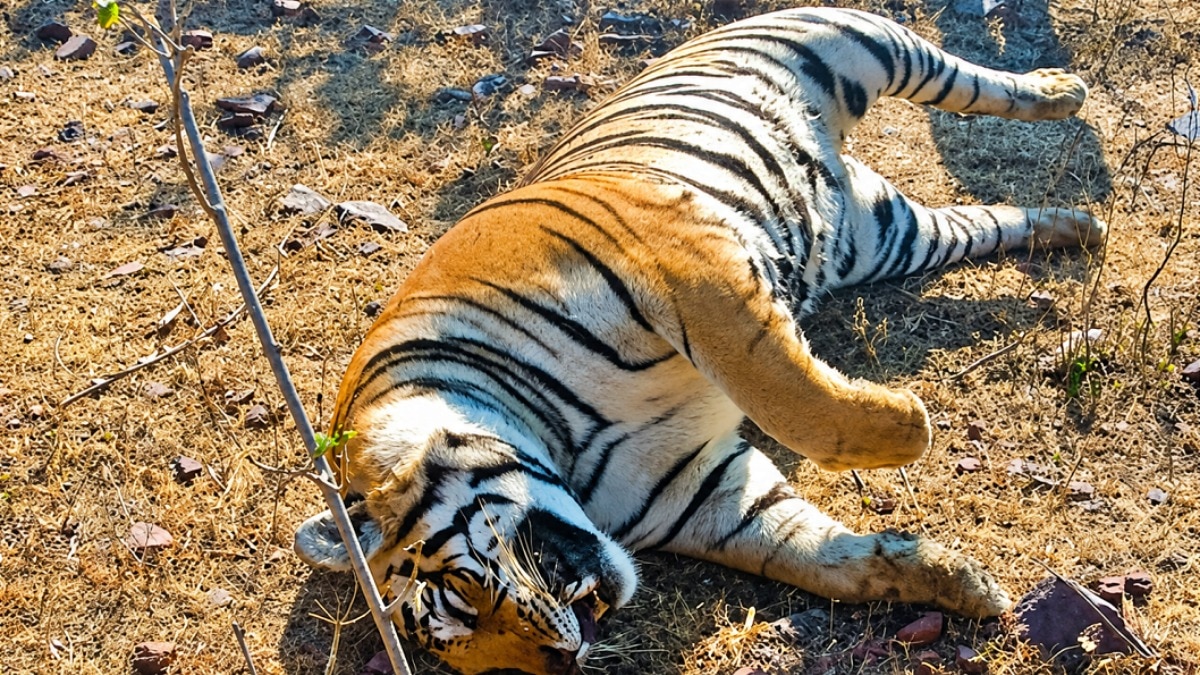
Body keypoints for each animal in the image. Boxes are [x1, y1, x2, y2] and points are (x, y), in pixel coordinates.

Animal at [294, 6, 1105, 675]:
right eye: (476, 659)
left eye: (464, 593)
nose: (563, 658)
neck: (562, 448)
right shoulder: (701, 492)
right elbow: (816, 555)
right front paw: (964, 585)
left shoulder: (678, 258)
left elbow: (787, 392)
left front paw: (909, 427)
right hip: (891, 234)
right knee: (987, 220)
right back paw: (1077, 229)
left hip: (857, 42)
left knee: (969, 81)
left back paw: (1060, 89)